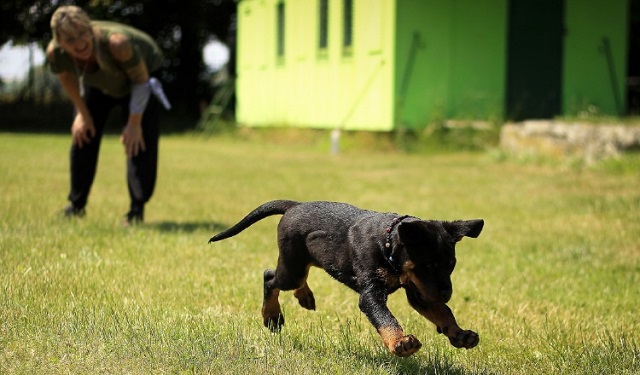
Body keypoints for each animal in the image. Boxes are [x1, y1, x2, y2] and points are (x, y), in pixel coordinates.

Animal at [208, 201, 482, 356]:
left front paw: (460, 334)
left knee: (294, 278)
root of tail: (294, 205)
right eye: (427, 265)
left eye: (451, 266)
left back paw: (304, 296)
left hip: (302, 262)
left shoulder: (419, 291)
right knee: (269, 277)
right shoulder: (372, 293)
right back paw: (272, 316)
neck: (387, 244)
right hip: (292, 267)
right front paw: (400, 343)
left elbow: (443, 312)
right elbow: (386, 318)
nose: (447, 293)